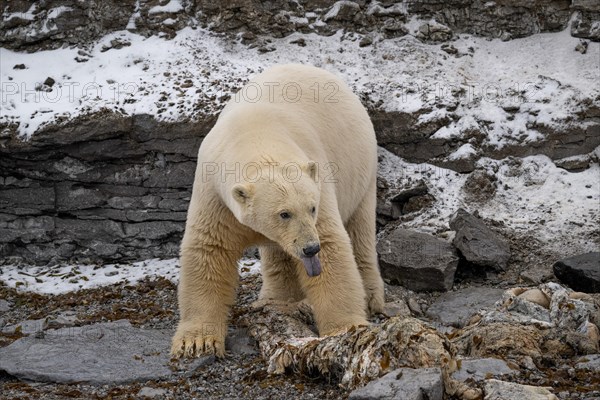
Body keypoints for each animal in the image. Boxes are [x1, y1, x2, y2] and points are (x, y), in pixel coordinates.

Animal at [170, 64, 384, 358]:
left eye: (312, 208)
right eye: (284, 213)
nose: (310, 248)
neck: (257, 136)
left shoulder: (318, 178)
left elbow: (332, 245)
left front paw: (346, 328)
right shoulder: (214, 191)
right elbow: (210, 249)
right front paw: (196, 342)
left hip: (362, 169)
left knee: (360, 230)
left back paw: (372, 297)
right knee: (278, 254)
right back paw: (276, 300)